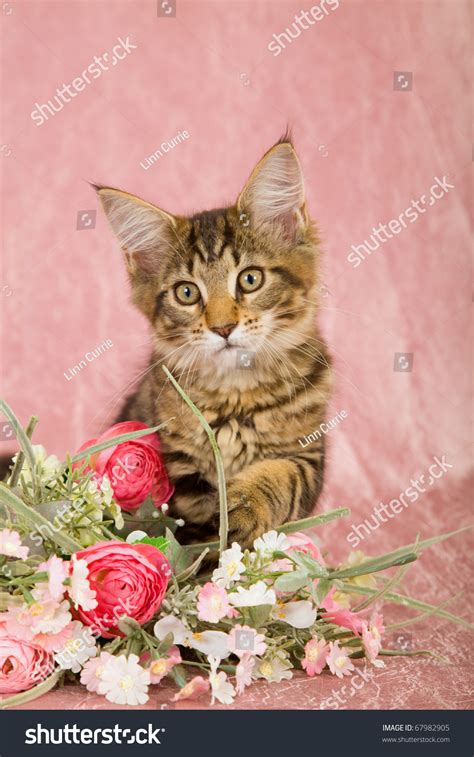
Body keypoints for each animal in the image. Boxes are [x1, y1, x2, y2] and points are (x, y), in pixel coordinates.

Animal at [96, 136, 332, 548]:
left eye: (250, 279)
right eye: (187, 292)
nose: (223, 328)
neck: (236, 393)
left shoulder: (309, 452)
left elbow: (281, 475)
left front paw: (242, 504)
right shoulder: (178, 465)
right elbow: (191, 525)